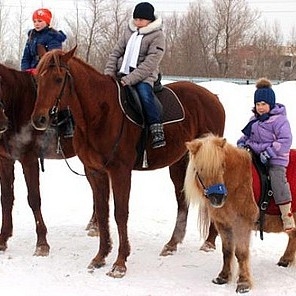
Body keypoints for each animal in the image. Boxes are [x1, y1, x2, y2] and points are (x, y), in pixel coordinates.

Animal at [0, 63, 95, 256]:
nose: (2, 122)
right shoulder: (5, 161)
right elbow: (6, 198)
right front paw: (3, 238)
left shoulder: (29, 160)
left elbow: (34, 198)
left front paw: (42, 243)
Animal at [29, 46, 224, 278]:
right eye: (38, 80)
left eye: (58, 79)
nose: (39, 119)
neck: (100, 114)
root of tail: (213, 98)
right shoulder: (95, 172)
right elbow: (102, 212)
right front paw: (100, 256)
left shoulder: (120, 171)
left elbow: (120, 214)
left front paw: (120, 263)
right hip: (178, 162)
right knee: (181, 199)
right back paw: (172, 244)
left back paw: (209, 241)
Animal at [185, 134, 260, 294]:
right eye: (200, 168)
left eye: (222, 166)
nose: (218, 198)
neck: (237, 183)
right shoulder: (223, 224)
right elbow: (227, 251)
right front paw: (223, 277)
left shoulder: (242, 223)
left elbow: (241, 253)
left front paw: (244, 283)